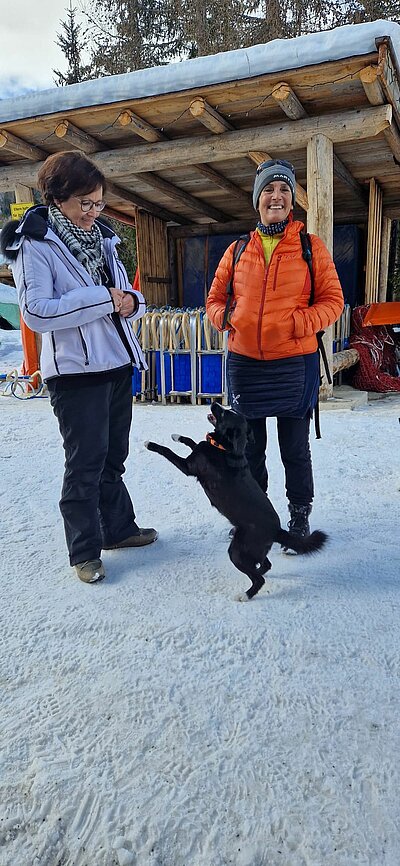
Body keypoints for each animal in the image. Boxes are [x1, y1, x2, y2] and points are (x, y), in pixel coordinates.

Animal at [145, 402, 326, 596]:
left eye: (224, 413)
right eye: (228, 410)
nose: (214, 403)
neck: (226, 448)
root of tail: (276, 530)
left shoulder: (188, 466)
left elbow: (168, 452)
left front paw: (151, 444)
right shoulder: (200, 449)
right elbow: (191, 441)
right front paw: (176, 436)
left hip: (237, 551)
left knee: (258, 579)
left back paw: (245, 595)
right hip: (253, 550)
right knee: (265, 565)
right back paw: (258, 572)